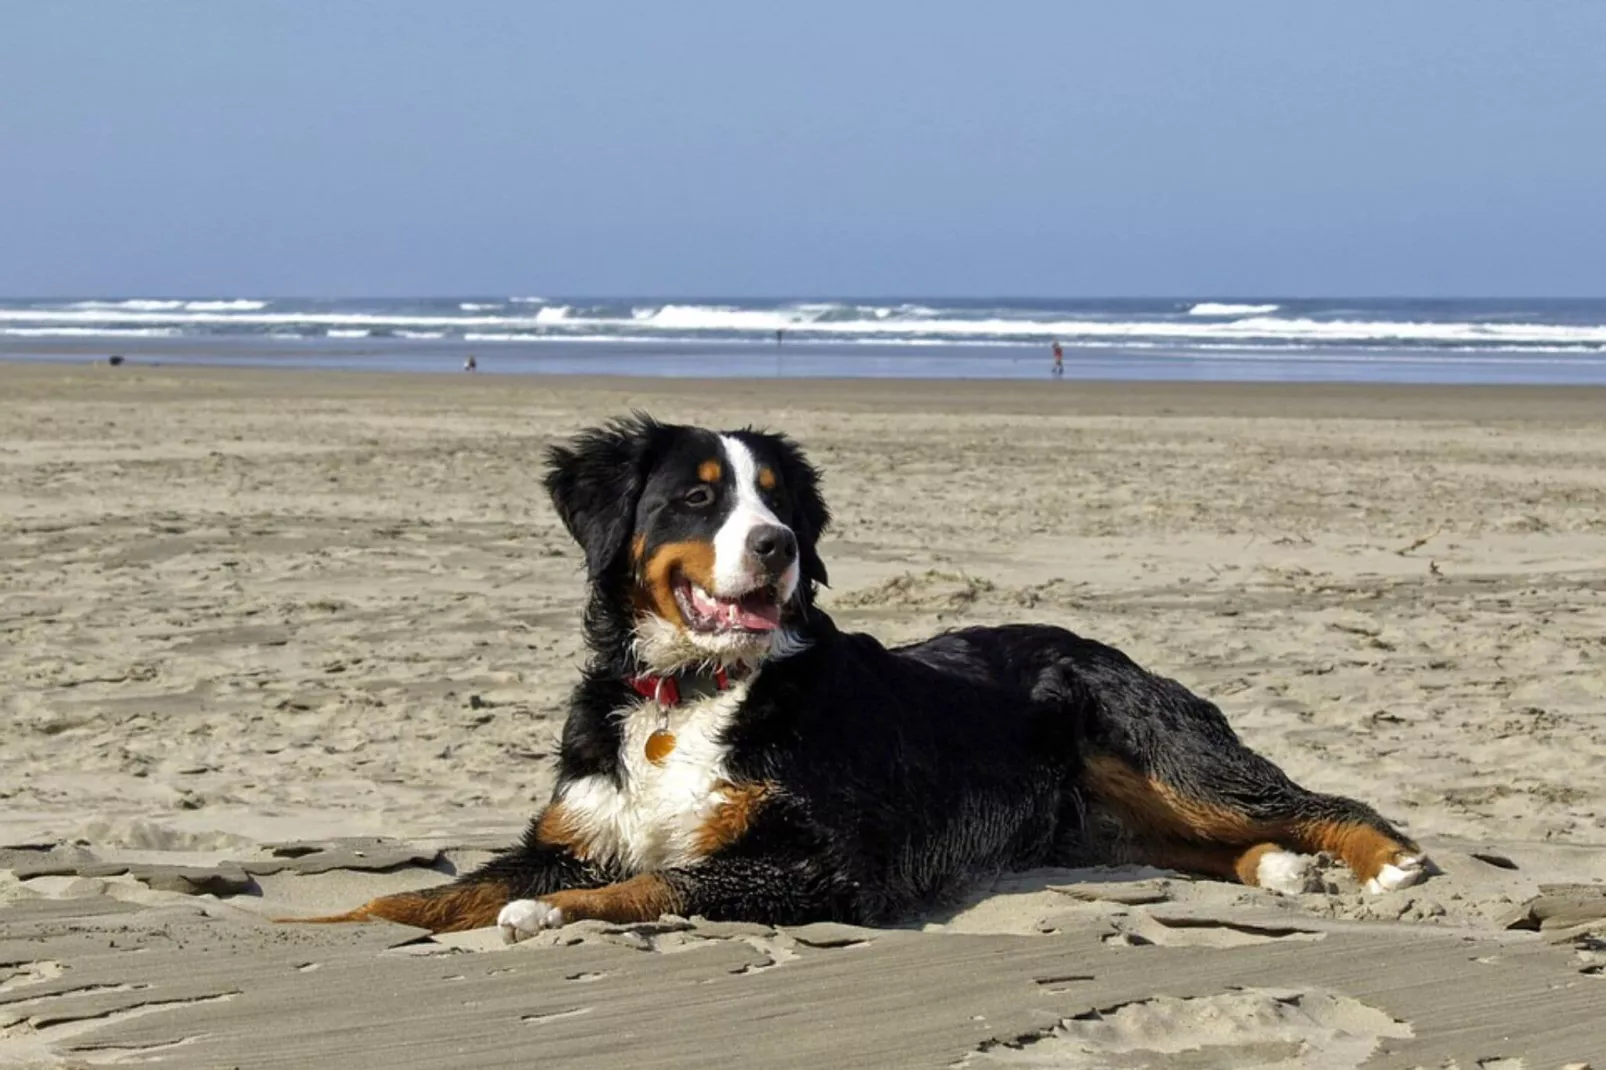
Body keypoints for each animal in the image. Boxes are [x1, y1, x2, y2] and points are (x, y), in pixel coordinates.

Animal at [306, 411, 1426, 938]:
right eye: (697, 499)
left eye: (779, 504)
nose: (775, 548)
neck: (695, 692)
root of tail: (1097, 642)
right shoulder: (571, 832)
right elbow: (428, 895)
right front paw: (311, 923)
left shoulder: (825, 862)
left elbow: (662, 879)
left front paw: (552, 916)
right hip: (1107, 818)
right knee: (1208, 843)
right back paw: (1279, 869)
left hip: (1165, 751)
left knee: (1311, 799)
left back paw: (1386, 860)